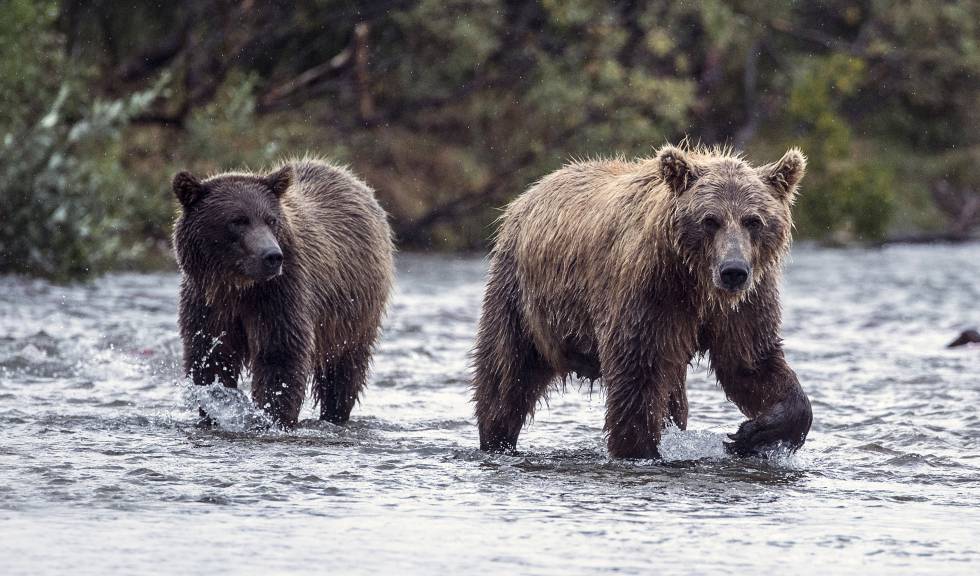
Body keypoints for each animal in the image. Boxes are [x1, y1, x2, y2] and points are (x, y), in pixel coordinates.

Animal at [172, 158, 394, 428]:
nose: (272, 256)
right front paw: (215, 409)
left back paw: (335, 413)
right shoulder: (208, 303)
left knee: (343, 370)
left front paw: (272, 415)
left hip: (354, 312)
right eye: (238, 220)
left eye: (271, 220)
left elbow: (280, 355)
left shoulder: (281, 295)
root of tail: (352, 179)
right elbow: (210, 357)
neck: (239, 287)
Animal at [470, 143, 816, 460]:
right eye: (710, 220)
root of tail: (529, 193)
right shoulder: (650, 294)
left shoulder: (743, 305)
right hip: (522, 298)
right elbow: (637, 374)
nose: (733, 271)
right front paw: (640, 450)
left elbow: (750, 362)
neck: (696, 283)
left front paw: (752, 434)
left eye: (753, 220)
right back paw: (496, 439)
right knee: (506, 373)